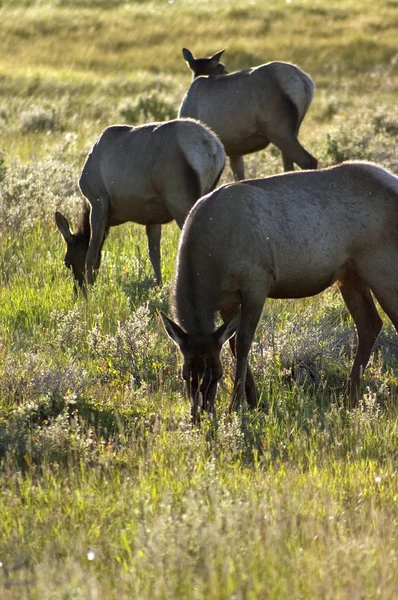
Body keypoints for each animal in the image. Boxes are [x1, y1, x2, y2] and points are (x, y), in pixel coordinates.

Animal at [54, 118, 225, 292]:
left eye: (67, 261)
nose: (78, 292)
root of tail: (213, 149)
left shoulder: (98, 201)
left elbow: (92, 253)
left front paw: (91, 293)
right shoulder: (153, 216)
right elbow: (154, 255)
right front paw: (158, 288)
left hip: (180, 197)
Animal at [162, 161, 398, 422]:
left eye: (218, 373)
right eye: (184, 373)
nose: (200, 414)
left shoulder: (256, 283)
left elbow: (243, 344)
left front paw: (237, 405)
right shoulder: (228, 301)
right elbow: (233, 345)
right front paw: (255, 400)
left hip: (380, 263)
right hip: (350, 273)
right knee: (370, 324)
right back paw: (350, 397)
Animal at [177, 47, 318, 180]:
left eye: (222, 67)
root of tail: (304, 82)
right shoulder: (233, 148)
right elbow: (239, 175)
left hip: (277, 127)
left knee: (308, 161)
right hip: (292, 129)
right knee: (289, 166)